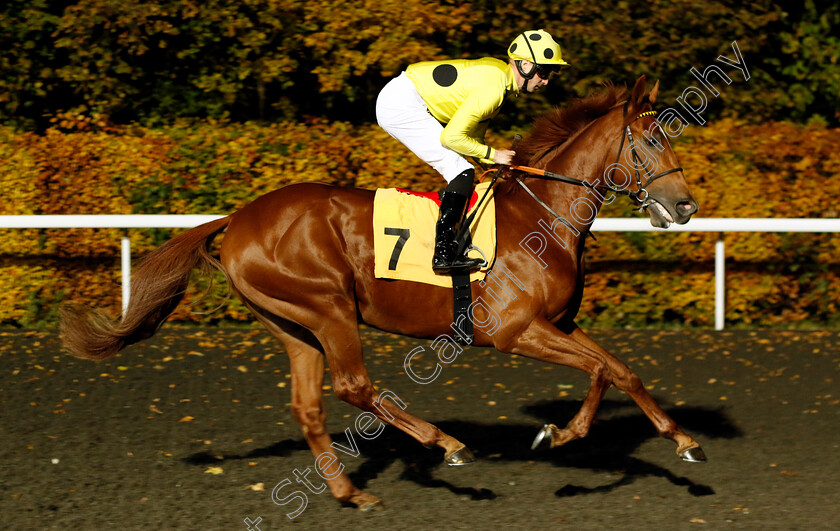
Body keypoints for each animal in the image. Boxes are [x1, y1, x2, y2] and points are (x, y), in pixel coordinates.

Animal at [60, 76, 704, 512]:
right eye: (649, 142)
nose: (685, 206)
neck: (543, 215)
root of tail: (237, 219)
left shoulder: (559, 324)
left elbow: (620, 369)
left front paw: (684, 441)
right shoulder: (514, 332)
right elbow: (597, 373)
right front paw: (561, 433)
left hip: (292, 324)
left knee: (309, 404)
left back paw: (349, 491)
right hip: (329, 307)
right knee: (353, 386)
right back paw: (446, 443)